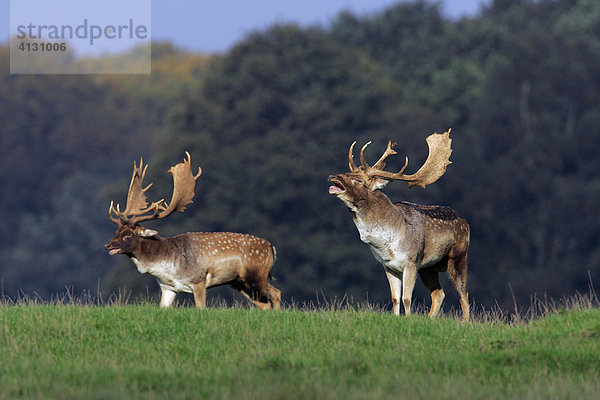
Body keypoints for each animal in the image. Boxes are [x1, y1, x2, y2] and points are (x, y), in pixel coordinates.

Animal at [105, 153, 282, 310]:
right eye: (117, 230)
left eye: (128, 234)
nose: (108, 245)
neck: (169, 267)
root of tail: (272, 248)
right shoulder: (168, 288)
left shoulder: (198, 280)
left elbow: (201, 308)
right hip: (239, 282)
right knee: (264, 304)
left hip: (256, 275)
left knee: (276, 293)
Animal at [328, 131, 468, 322]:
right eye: (348, 171)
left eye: (357, 179)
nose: (332, 177)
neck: (387, 242)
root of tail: (466, 222)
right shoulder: (388, 265)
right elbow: (395, 298)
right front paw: (396, 318)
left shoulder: (411, 261)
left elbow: (406, 298)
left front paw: (408, 320)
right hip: (428, 267)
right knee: (439, 294)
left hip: (458, 255)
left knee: (463, 295)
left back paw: (466, 323)